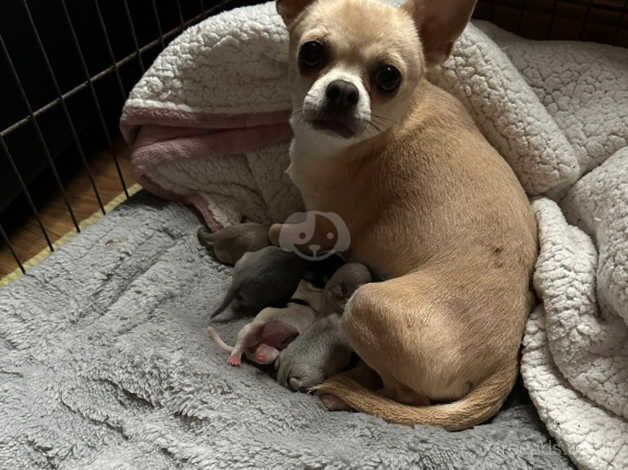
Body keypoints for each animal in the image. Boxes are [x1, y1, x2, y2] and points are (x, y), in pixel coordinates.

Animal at [276, 262, 372, 392]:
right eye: (364, 282)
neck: (332, 304)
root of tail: (285, 367)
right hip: (314, 376)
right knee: (299, 383)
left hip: (282, 355)